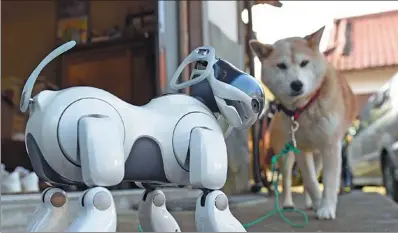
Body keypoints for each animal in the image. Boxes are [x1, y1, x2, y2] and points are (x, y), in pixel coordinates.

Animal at [21, 41, 264, 232]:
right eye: (224, 72)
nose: (258, 100)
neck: (204, 104)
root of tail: (40, 102)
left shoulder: (152, 186)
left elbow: (154, 202)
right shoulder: (204, 135)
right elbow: (216, 198)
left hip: (53, 173)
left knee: (54, 198)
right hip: (98, 134)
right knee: (99, 198)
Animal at [250, 26, 356, 219]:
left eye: (304, 63)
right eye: (281, 66)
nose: (297, 84)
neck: (305, 107)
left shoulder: (330, 146)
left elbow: (327, 182)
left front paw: (325, 208)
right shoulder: (300, 148)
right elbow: (311, 182)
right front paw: (319, 203)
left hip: (318, 155)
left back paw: (310, 203)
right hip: (286, 154)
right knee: (287, 180)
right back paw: (288, 203)